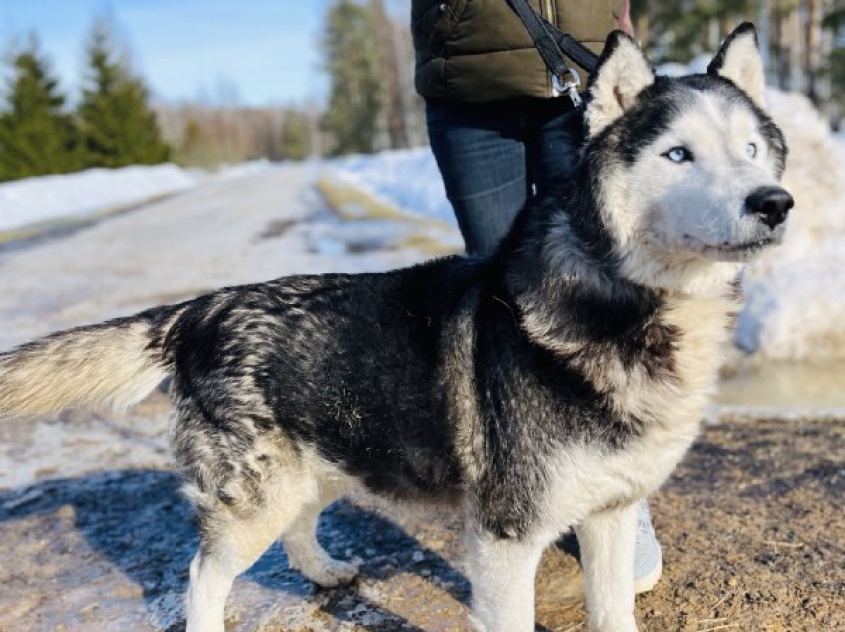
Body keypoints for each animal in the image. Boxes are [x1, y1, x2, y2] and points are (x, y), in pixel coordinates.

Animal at [1, 24, 792, 632]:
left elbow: (614, 611)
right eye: (678, 155)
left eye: (751, 150)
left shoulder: (610, 515)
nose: (775, 203)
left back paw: (326, 572)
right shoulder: (505, 538)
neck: (621, 304)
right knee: (203, 574)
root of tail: (198, 310)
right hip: (253, 500)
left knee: (297, 531)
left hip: (323, 463)